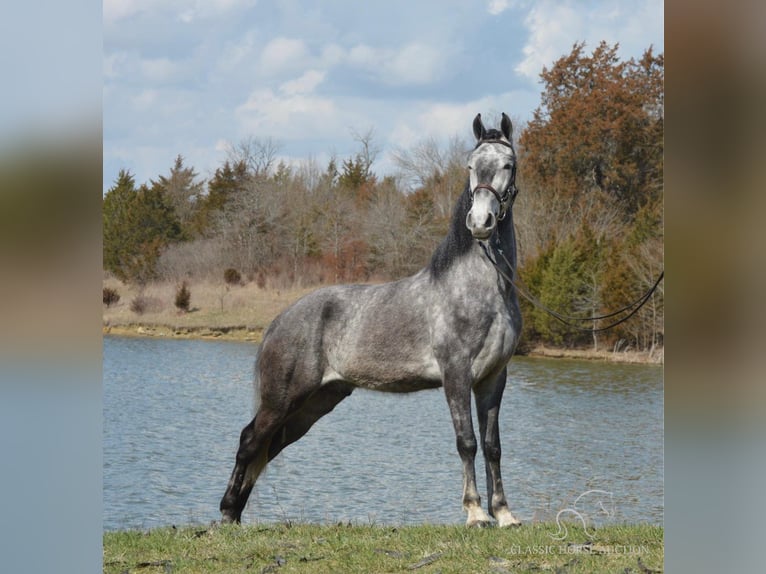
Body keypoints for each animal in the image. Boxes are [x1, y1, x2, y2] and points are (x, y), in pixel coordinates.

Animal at [219, 113, 524, 532]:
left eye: (508, 165)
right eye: (470, 166)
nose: (481, 221)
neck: (482, 289)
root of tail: (281, 321)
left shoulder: (494, 378)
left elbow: (493, 446)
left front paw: (505, 513)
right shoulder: (457, 375)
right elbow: (467, 442)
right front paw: (476, 513)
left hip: (315, 404)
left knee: (267, 447)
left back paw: (235, 513)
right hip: (283, 399)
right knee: (249, 441)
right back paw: (227, 512)